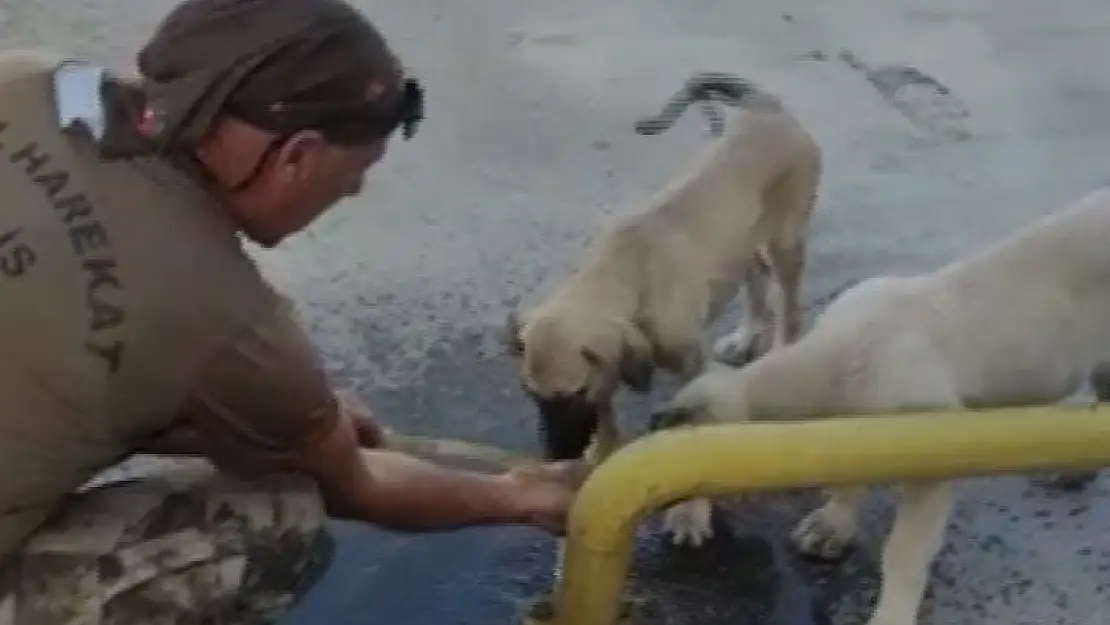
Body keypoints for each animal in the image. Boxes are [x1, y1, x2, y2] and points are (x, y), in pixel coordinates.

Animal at [503, 71, 825, 546]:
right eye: (530, 394)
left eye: (571, 395)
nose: (554, 457)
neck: (630, 273)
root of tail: (767, 107)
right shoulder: (611, 364)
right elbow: (607, 408)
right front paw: (600, 454)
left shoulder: (692, 366)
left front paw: (689, 514)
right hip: (743, 241)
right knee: (755, 277)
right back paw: (748, 333)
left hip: (787, 240)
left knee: (788, 302)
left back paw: (783, 346)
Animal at [648, 188, 1110, 625]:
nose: (675, 522)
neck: (838, 359)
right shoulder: (856, 431)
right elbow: (848, 480)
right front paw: (833, 524)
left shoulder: (932, 464)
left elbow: (904, 550)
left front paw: (892, 613)